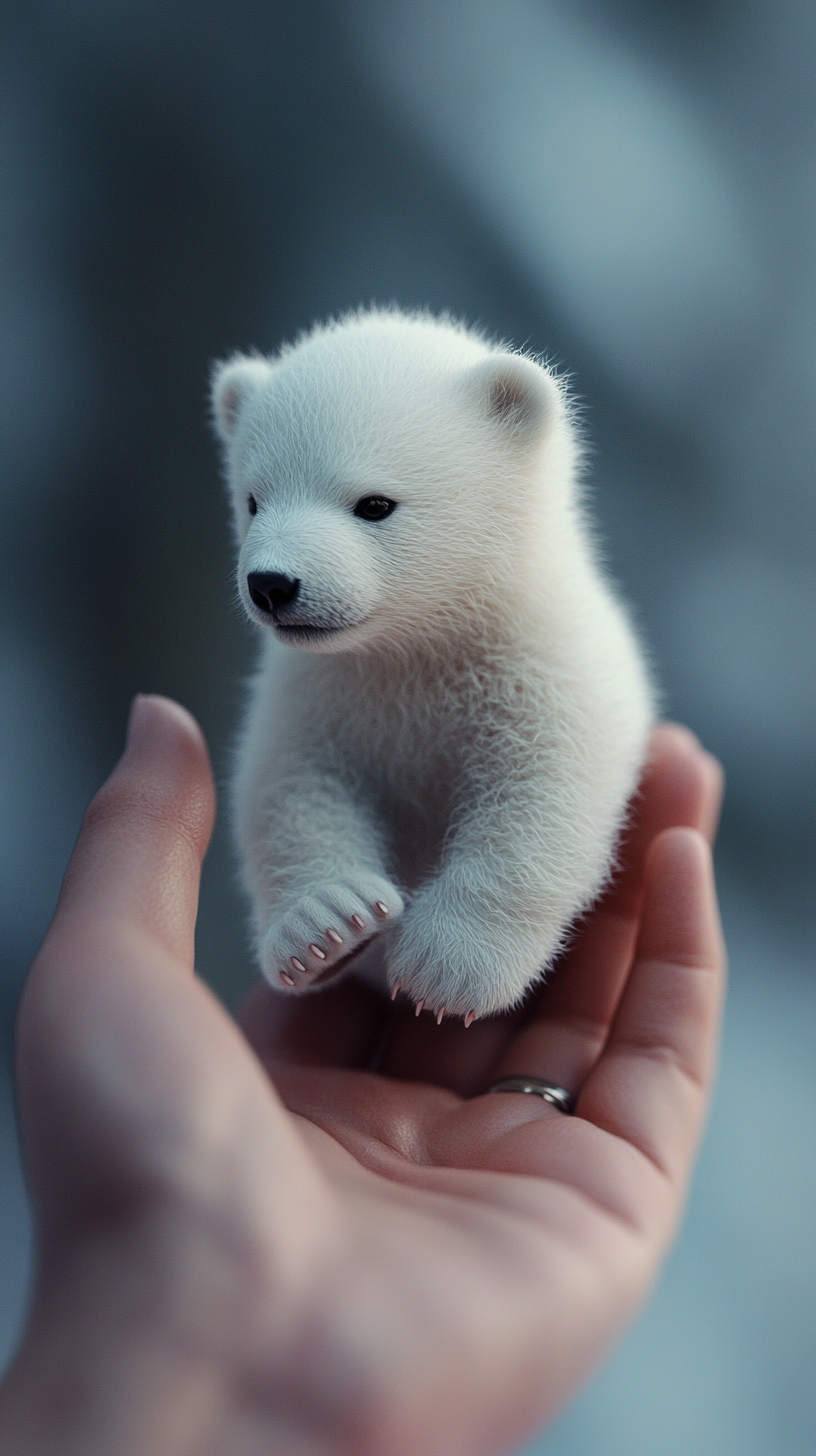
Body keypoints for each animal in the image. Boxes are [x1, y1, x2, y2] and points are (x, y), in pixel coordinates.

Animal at [211, 310, 655, 1025]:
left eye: (374, 503)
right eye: (253, 499)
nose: (273, 584)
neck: (421, 644)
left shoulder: (545, 671)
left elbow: (540, 797)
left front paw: (449, 966)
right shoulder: (322, 688)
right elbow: (291, 784)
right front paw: (328, 928)